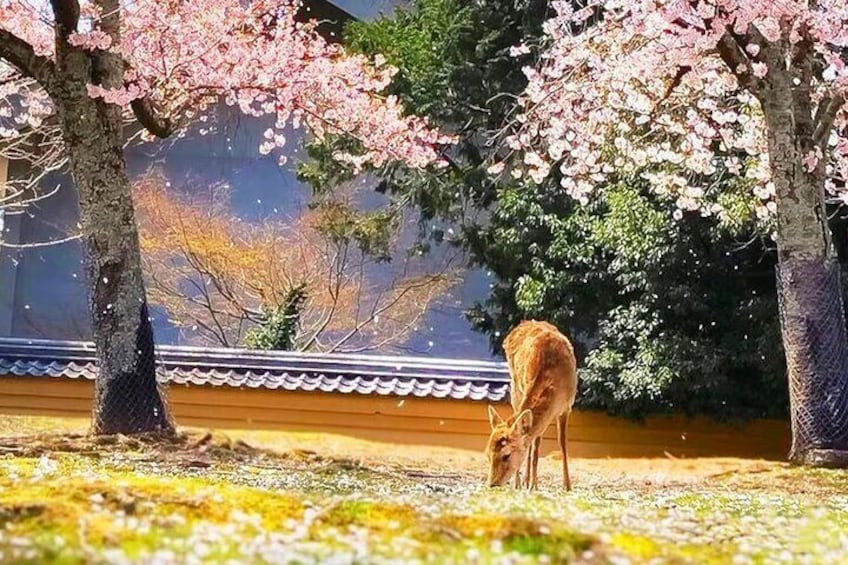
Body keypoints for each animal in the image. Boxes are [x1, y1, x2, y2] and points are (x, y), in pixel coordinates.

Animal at [484, 322, 576, 490]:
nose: (492, 484)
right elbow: (535, 444)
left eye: (506, 455)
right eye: (488, 454)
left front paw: (567, 486)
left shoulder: (567, 407)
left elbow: (561, 442)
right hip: (515, 388)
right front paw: (532, 484)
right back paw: (522, 482)